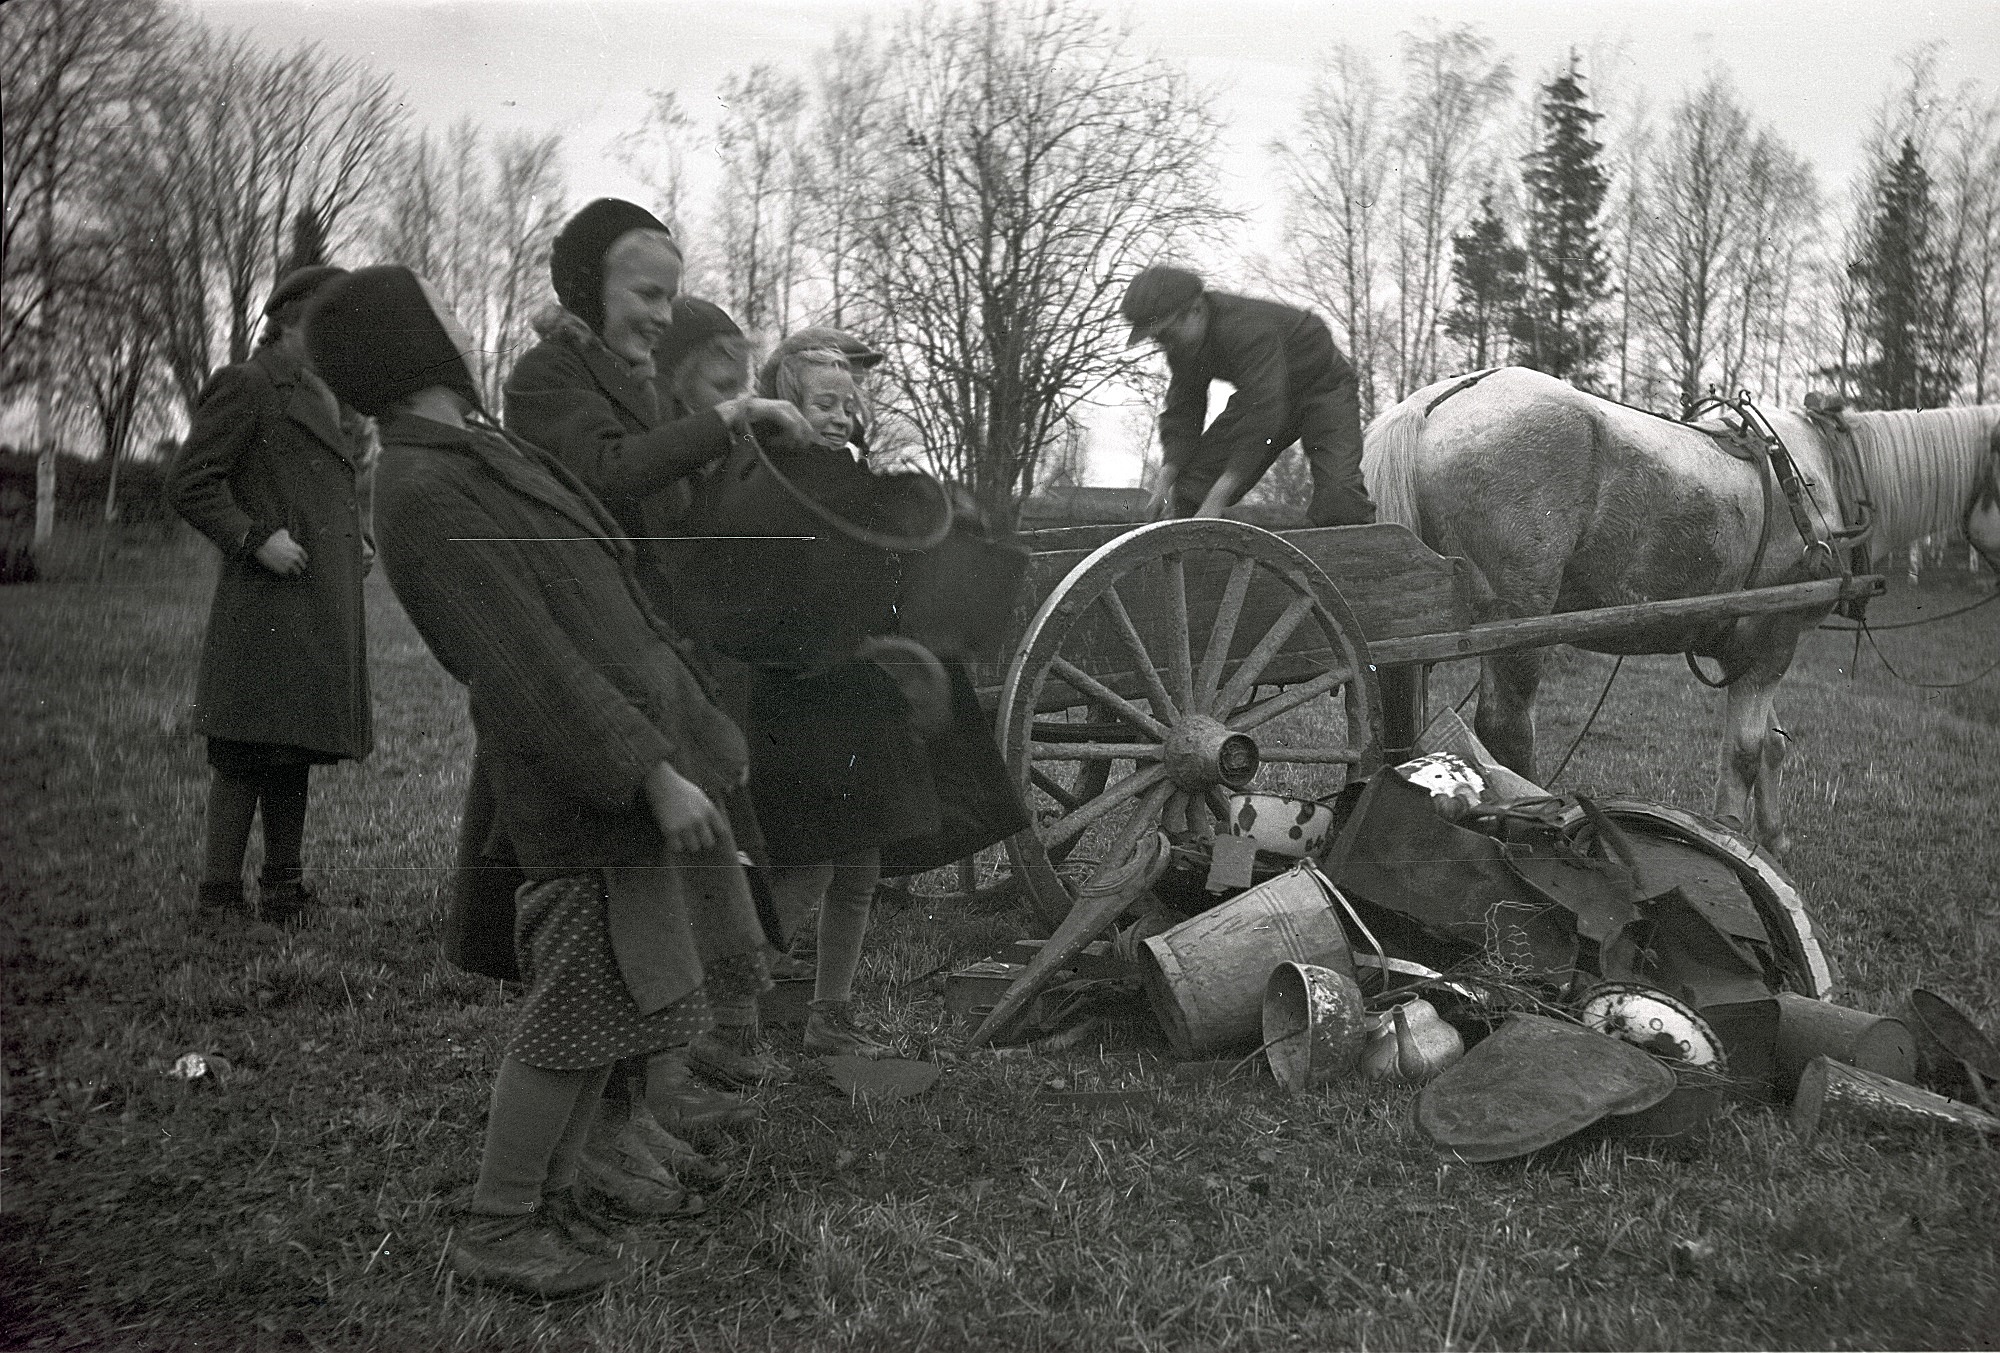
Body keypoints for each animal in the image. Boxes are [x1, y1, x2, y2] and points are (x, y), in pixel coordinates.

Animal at [1360, 368, 2000, 856]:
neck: (1827, 477)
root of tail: (1433, 403)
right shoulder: (1774, 637)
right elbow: (1744, 753)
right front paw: (1733, 837)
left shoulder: (1751, 650)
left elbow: (1772, 745)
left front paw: (1773, 840)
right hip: (1516, 625)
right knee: (1505, 734)